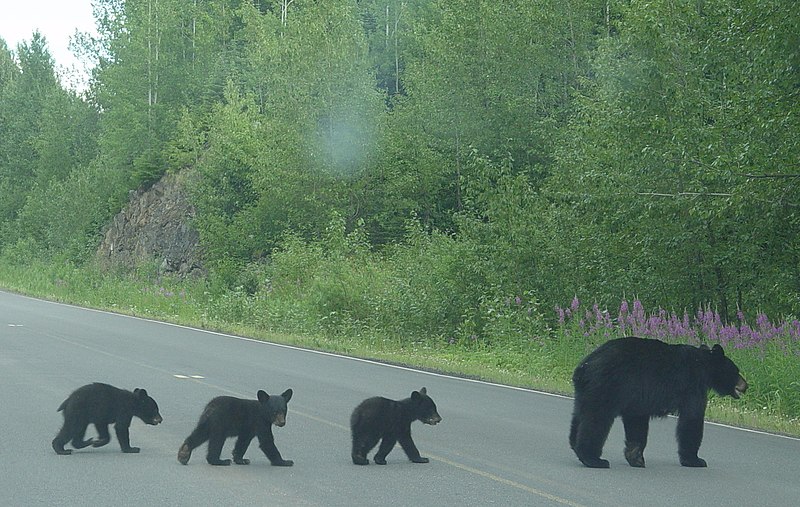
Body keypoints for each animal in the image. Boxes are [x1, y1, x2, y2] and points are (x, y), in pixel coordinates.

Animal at [569, 336, 748, 468]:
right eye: (737, 370)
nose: (746, 385)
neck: (703, 364)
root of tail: (584, 367)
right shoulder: (692, 385)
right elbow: (692, 419)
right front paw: (695, 460)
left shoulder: (636, 397)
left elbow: (636, 422)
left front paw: (635, 457)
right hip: (605, 387)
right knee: (596, 420)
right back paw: (593, 459)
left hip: (584, 392)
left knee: (579, 415)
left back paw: (575, 446)